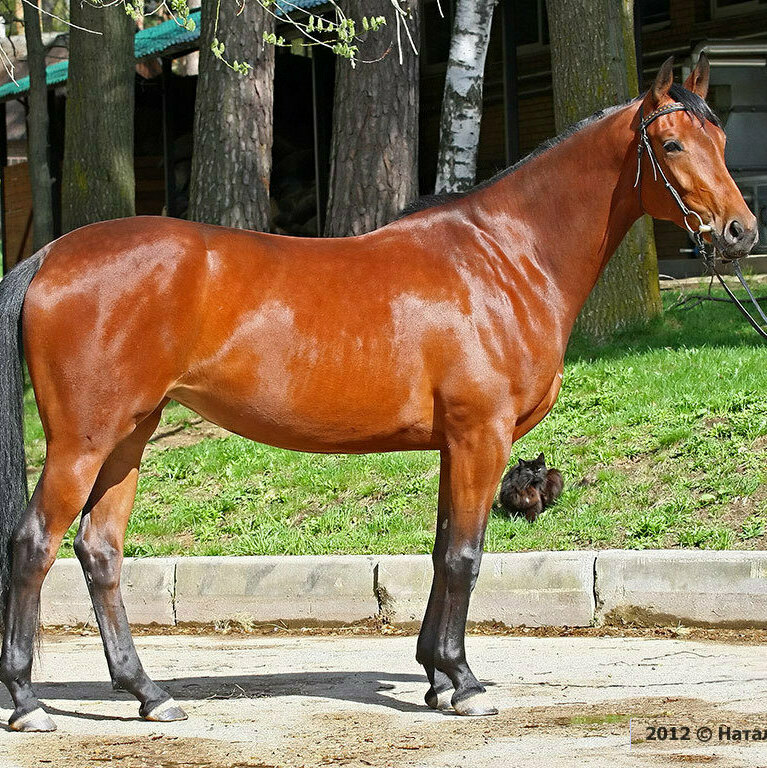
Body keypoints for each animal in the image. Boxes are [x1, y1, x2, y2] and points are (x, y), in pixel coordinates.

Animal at [0, 54, 756, 731]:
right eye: (671, 143)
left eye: (721, 142)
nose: (739, 232)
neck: (504, 257)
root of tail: (51, 255)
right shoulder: (481, 435)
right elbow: (465, 556)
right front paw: (466, 685)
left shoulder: (457, 444)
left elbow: (443, 550)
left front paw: (438, 677)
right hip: (83, 442)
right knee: (35, 543)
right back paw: (29, 703)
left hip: (130, 435)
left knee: (100, 551)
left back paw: (149, 695)